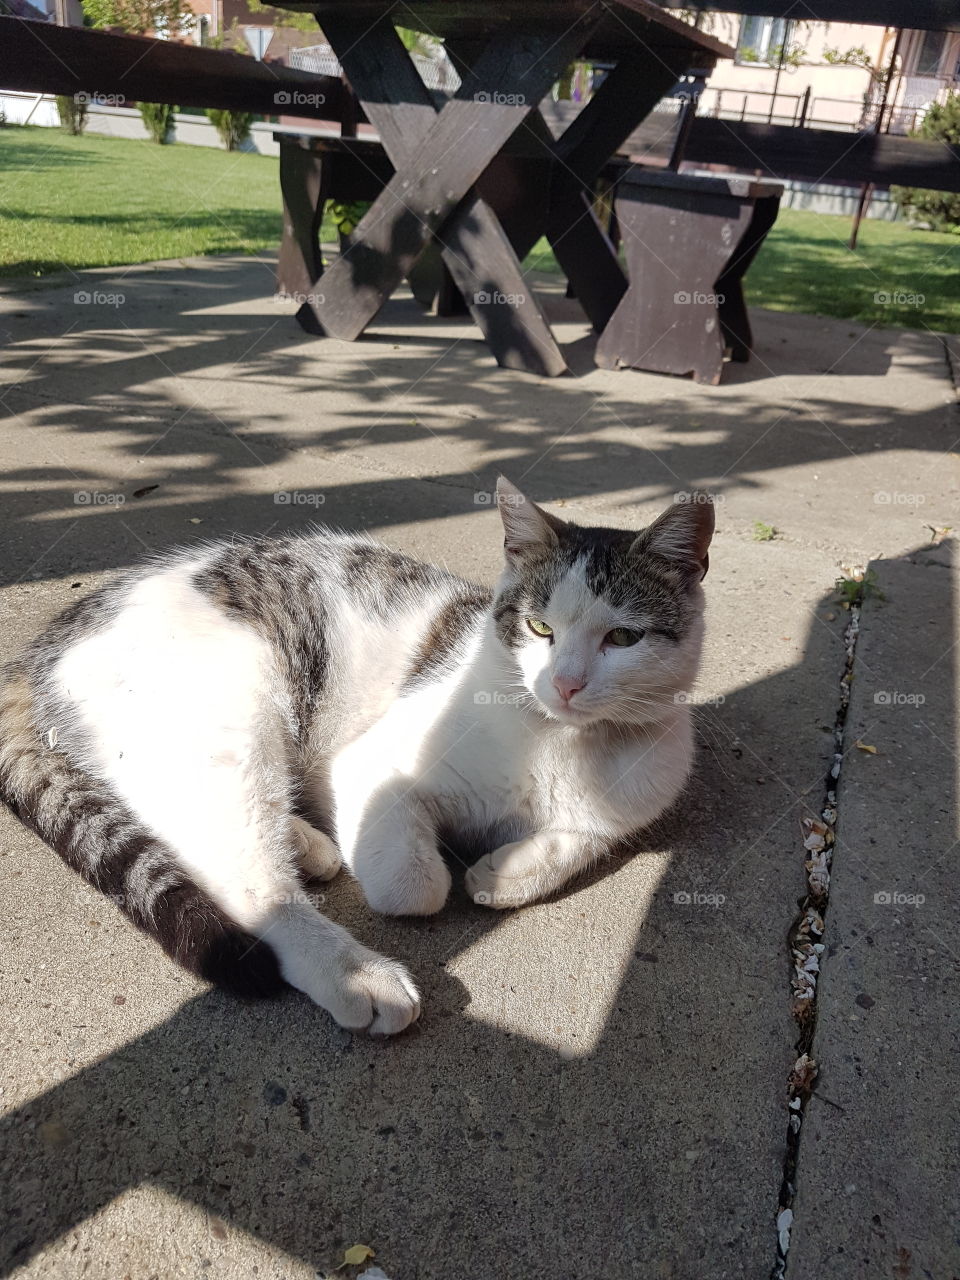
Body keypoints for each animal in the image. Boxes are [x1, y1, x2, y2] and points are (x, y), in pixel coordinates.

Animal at [0, 476, 716, 1034]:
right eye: (539, 627)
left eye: (622, 638)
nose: (565, 683)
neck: (559, 742)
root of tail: (48, 640)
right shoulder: (371, 766)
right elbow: (412, 885)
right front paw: (429, 879)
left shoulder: (631, 801)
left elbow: (580, 839)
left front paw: (506, 870)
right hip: (230, 722)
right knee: (245, 877)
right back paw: (354, 971)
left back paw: (306, 843)